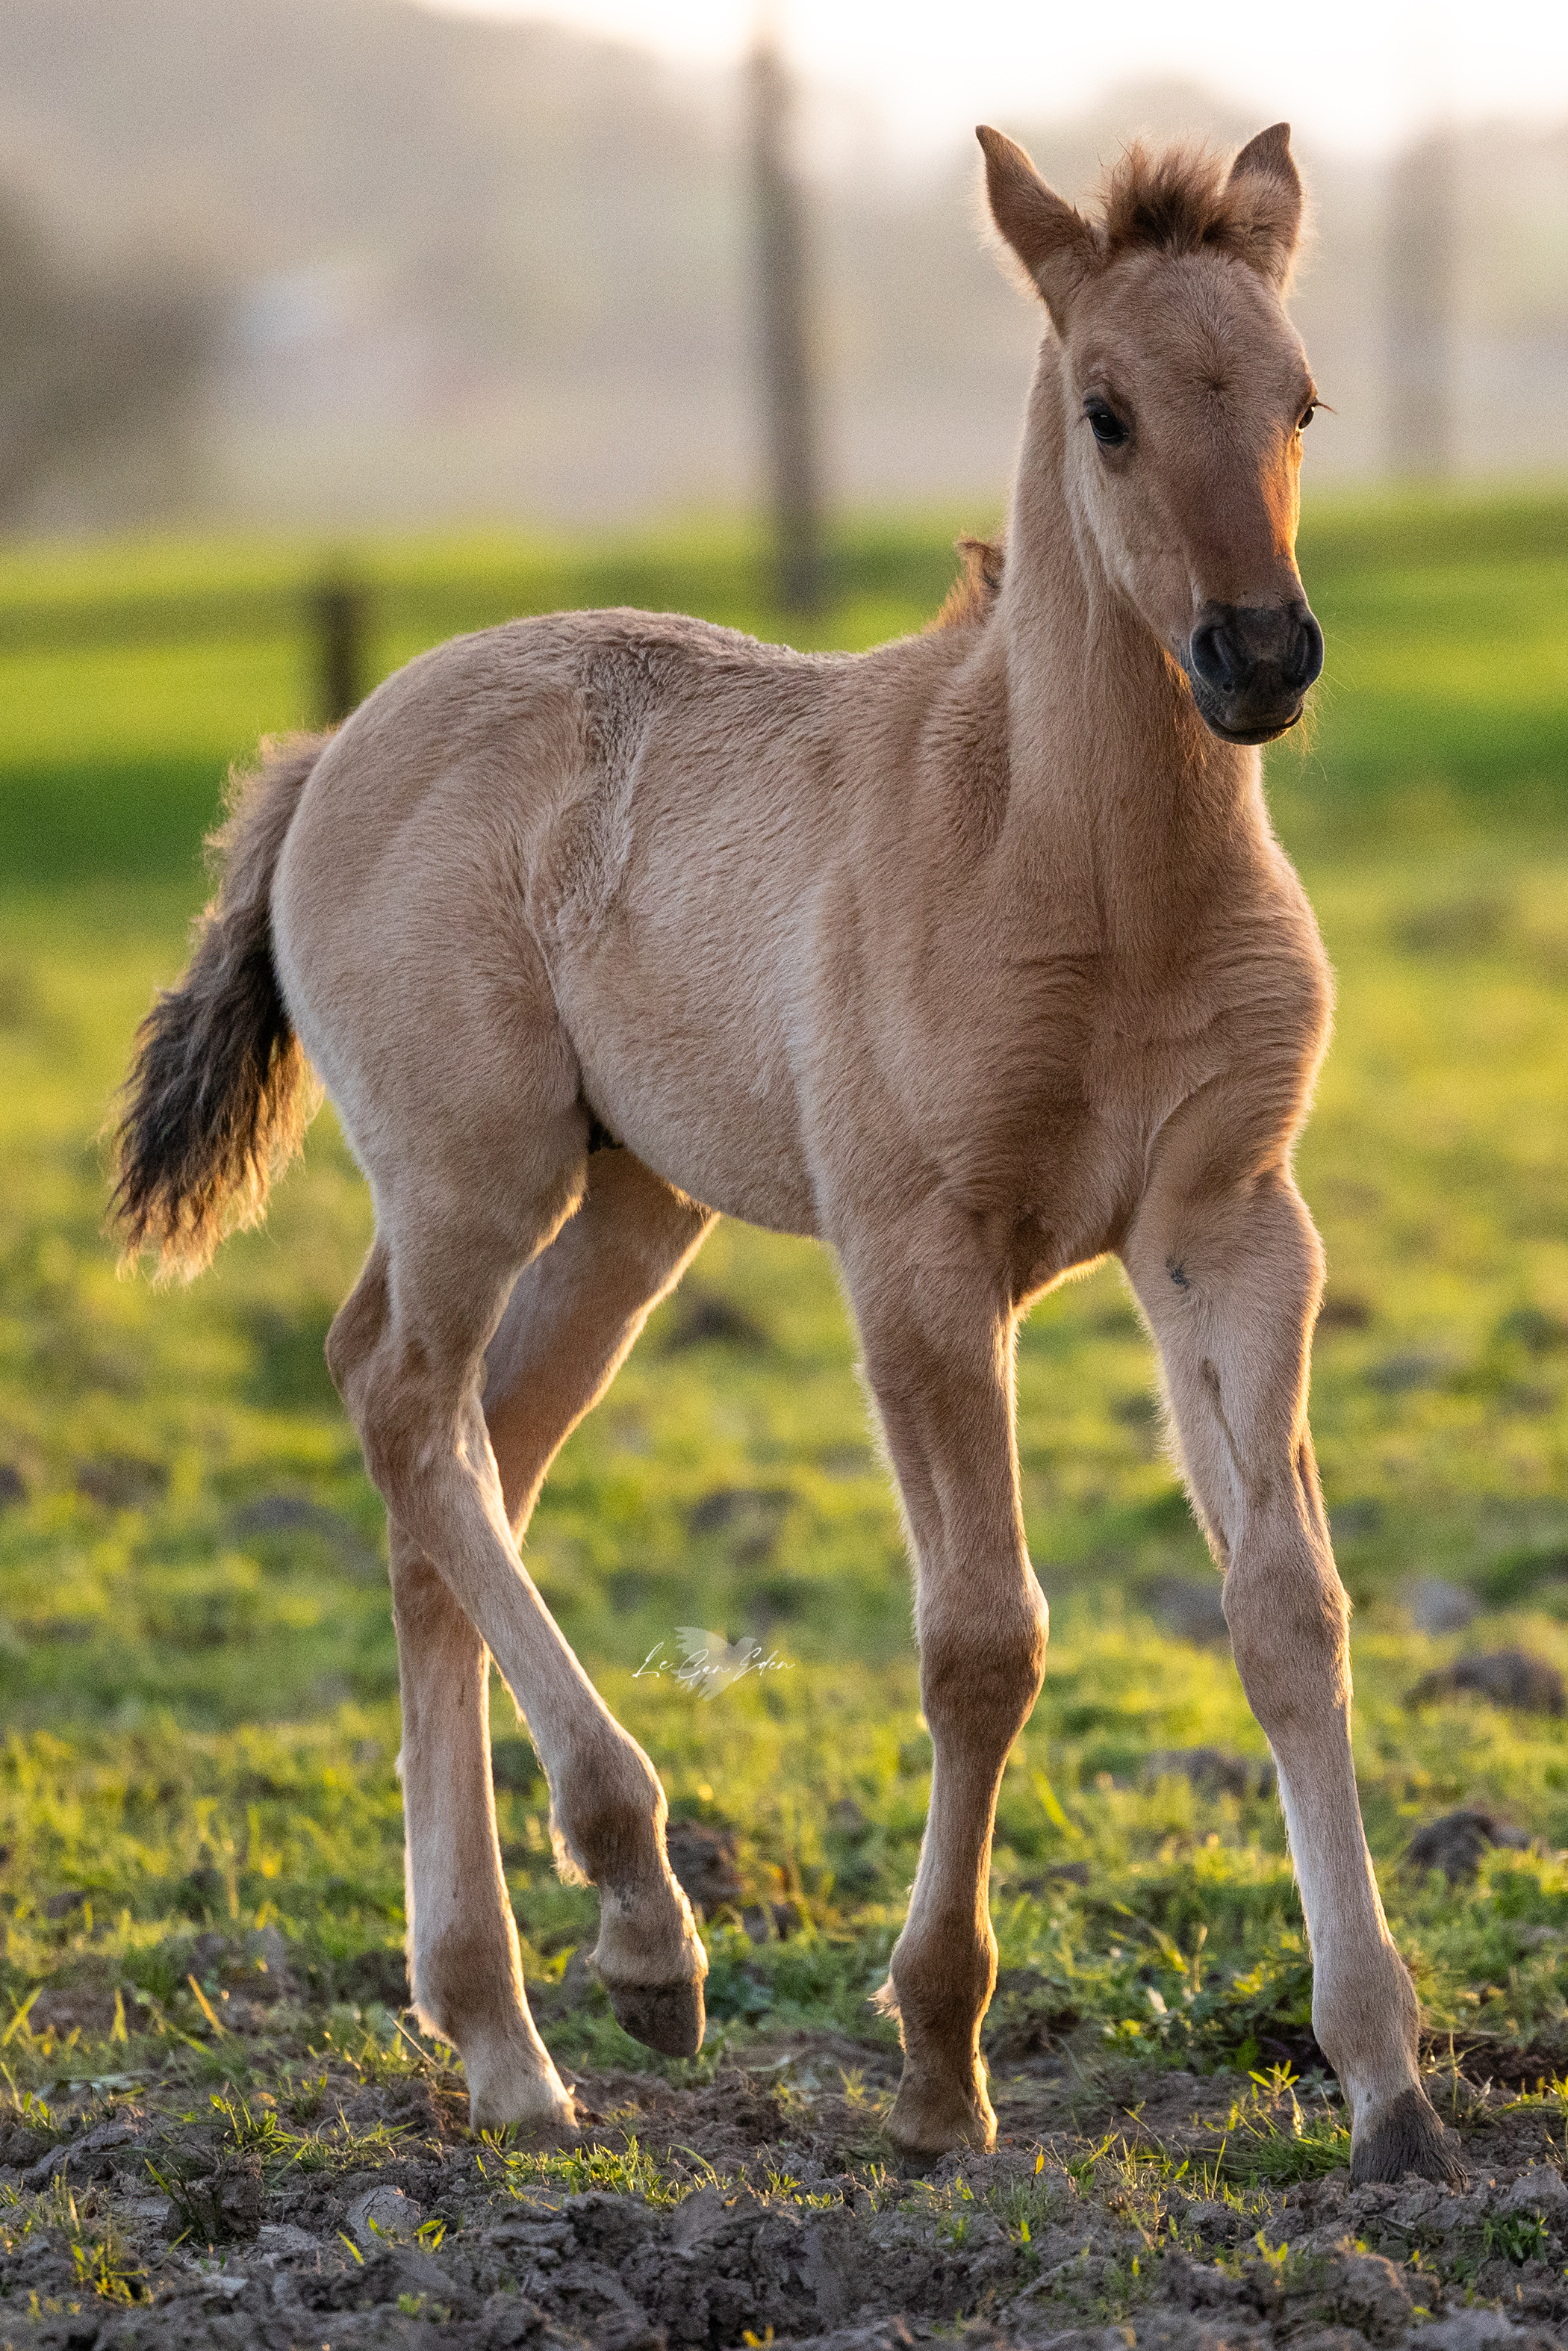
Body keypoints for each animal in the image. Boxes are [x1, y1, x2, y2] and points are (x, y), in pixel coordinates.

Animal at [113, 124, 1476, 2181]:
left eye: (1302, 399)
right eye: (1108, 411)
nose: (1260, 658)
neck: (1075, 862)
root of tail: (332, 744)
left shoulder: (1232, 1228)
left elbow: (1287, 1606)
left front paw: (1387, 2076)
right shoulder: (917, 1252)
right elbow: (983, 1635)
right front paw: (934, 2063)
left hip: (631, 1204)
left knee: (465, 1462)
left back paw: (503, 2031)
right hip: (475, 1169)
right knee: (400, 1402)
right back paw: (640, 1924)